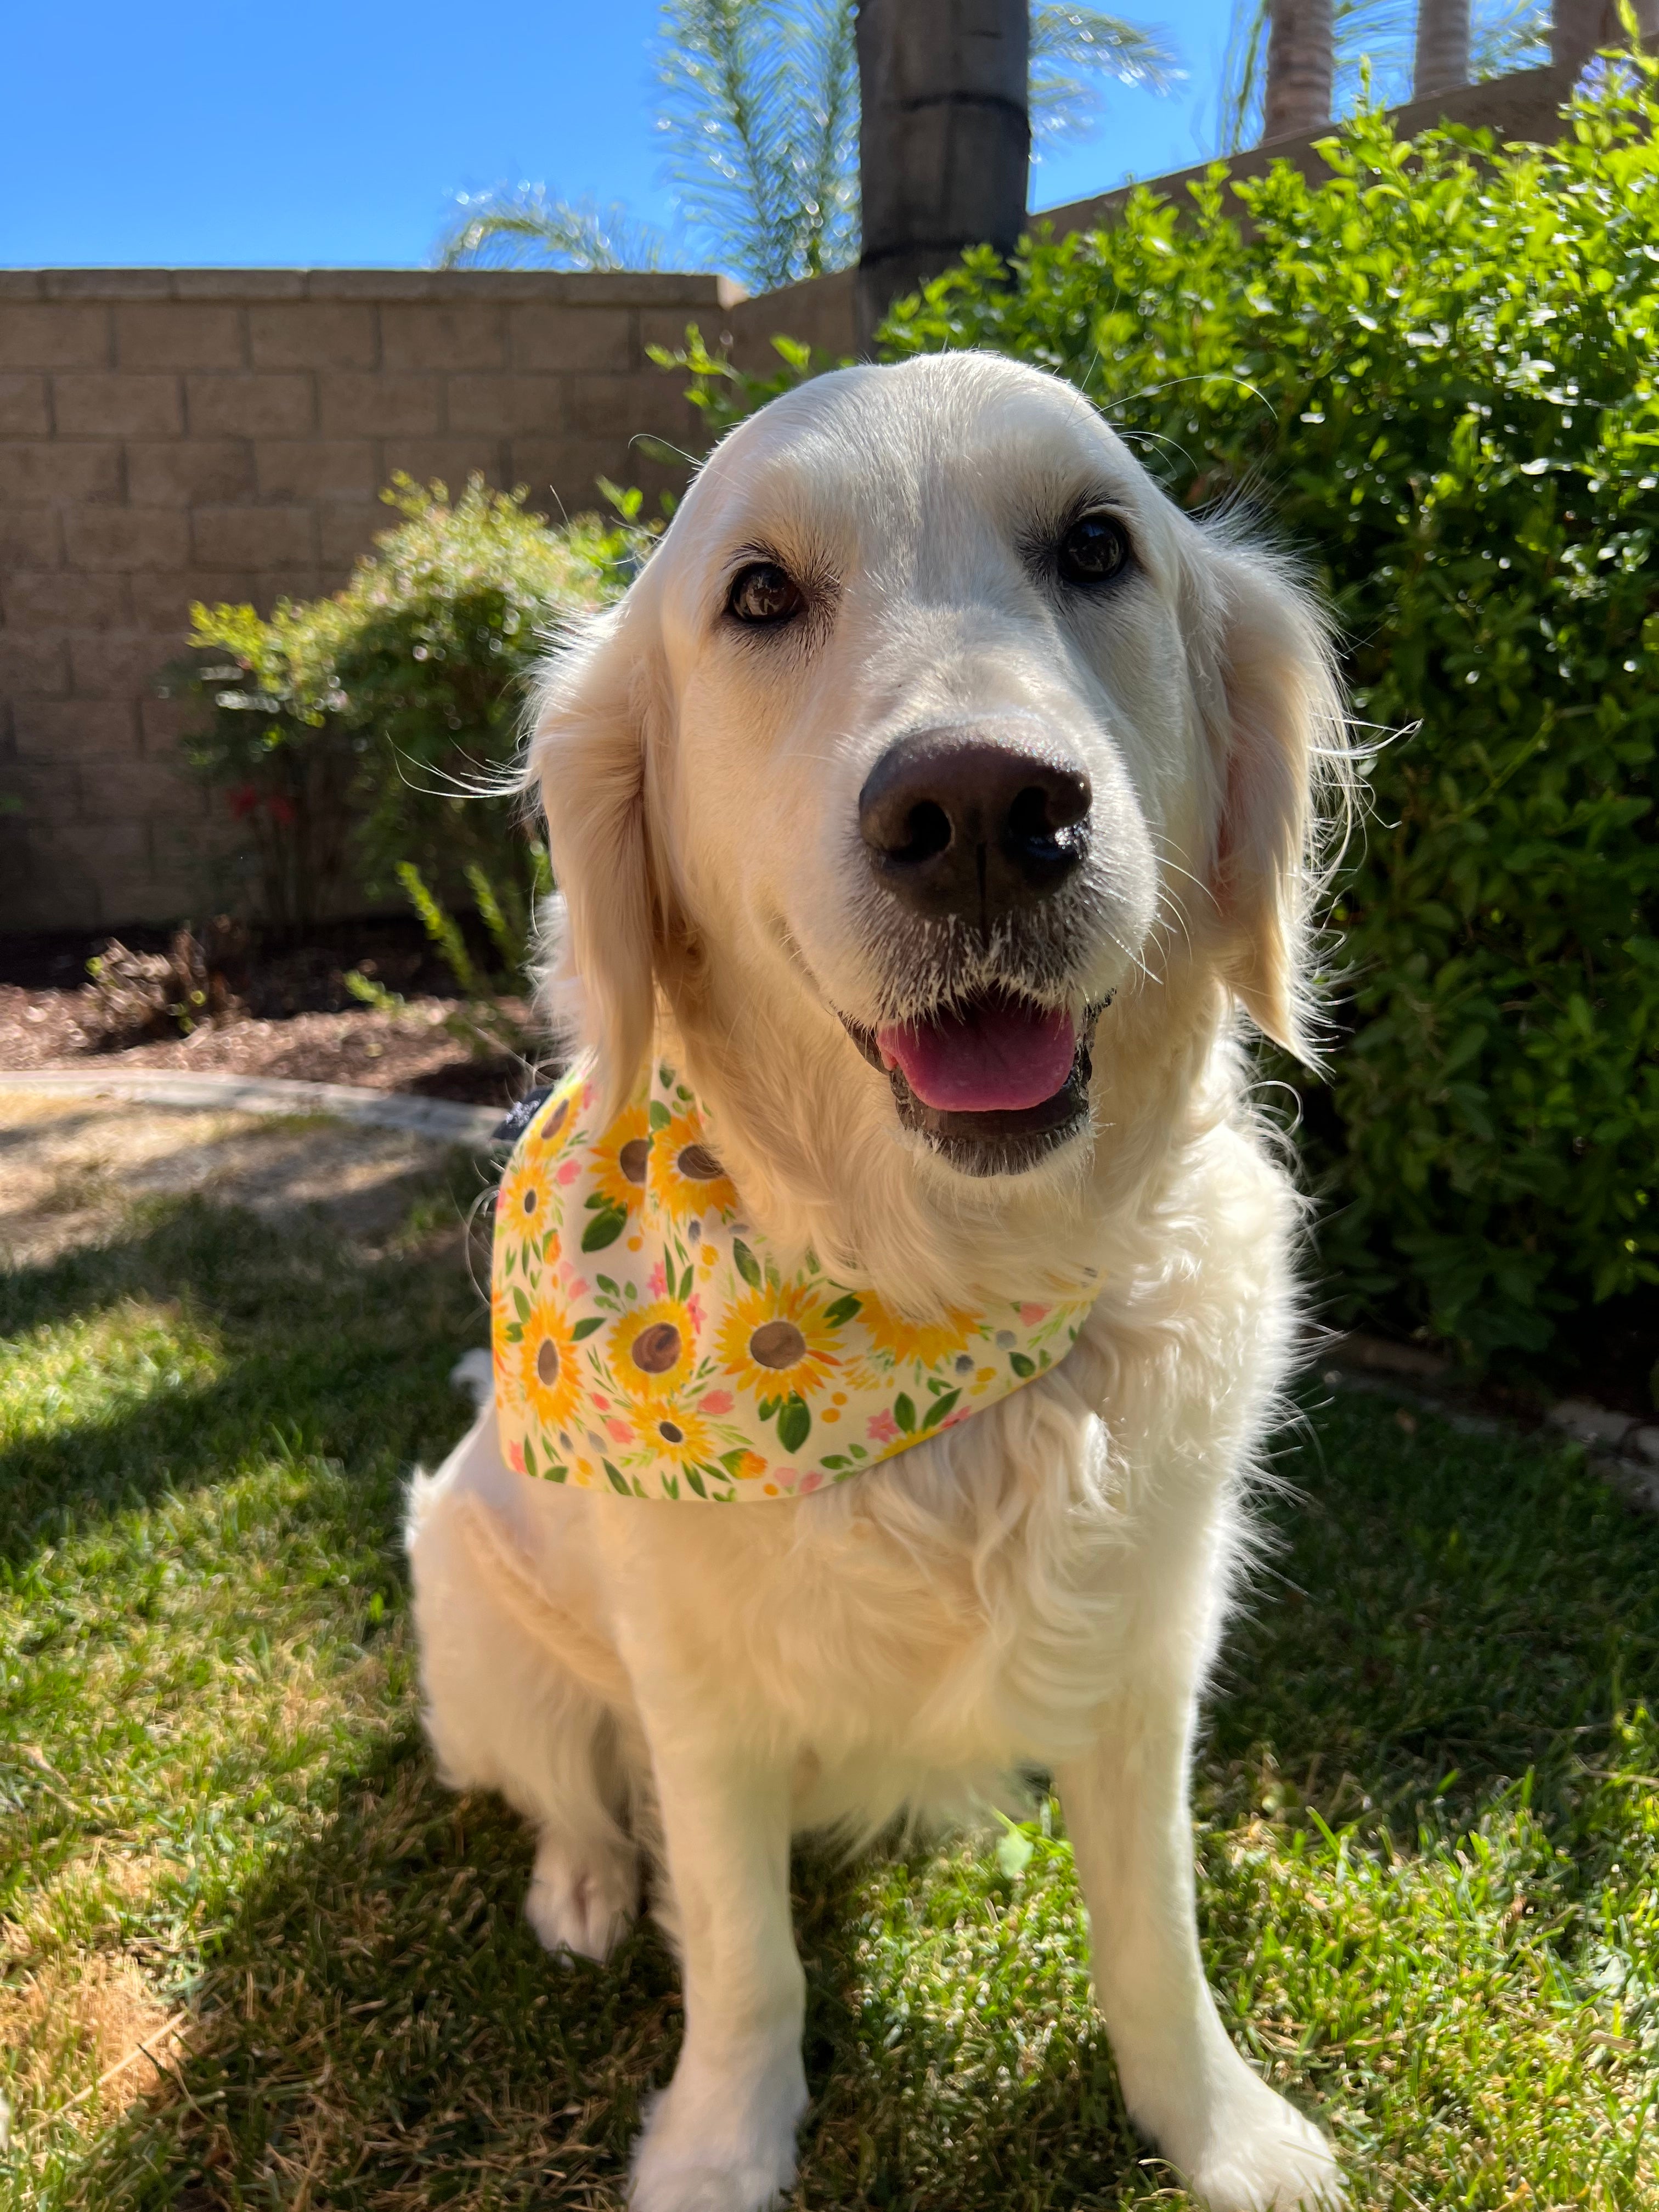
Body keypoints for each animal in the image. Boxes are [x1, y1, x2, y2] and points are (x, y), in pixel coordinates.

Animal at [409, 354, 1353, 2203]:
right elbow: (743, 1953)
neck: (930, 1296)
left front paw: (1218, 2132)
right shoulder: (697, 1699)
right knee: (565, 1788)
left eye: (1097, 547)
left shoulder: (1148, 1656)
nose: (984, 811)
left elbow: (1158, 1939)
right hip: (467, 1597)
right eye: (760, 596)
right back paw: (582, 1887)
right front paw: (720, 2146)